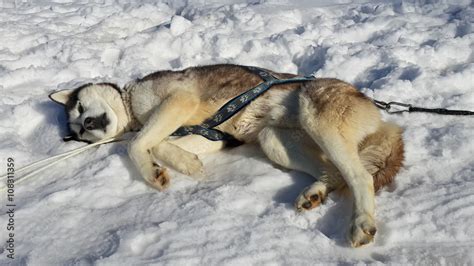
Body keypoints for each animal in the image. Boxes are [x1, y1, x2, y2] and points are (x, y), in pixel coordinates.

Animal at [48, 64, 404, 247]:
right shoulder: (206, 135)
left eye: (78, 107)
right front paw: (182, 163)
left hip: (315, 116)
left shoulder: (179, 99)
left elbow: (135, 142)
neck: (132, 110)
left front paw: (154, 170)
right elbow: (152, 142)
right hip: (274, 140)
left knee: (359, 176)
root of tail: (378, 113)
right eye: (78, 131)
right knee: (335, 172)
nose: (88, 123)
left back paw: (361, 222)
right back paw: (314, 193)